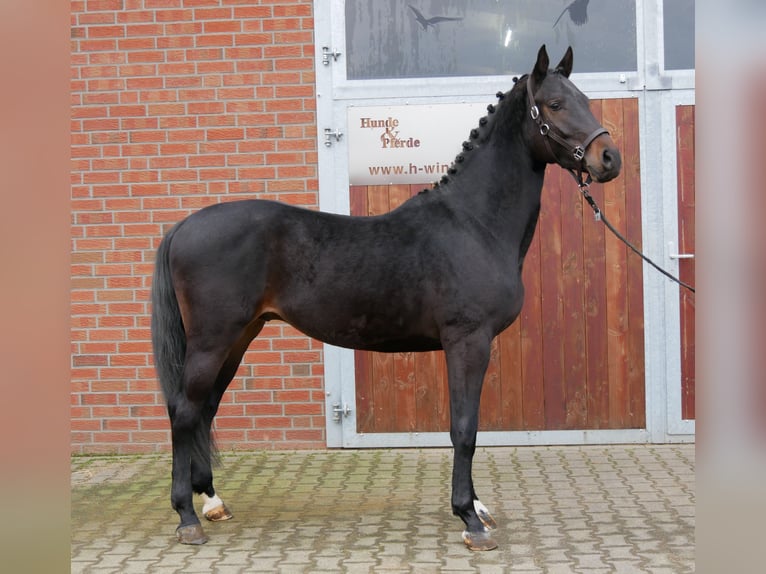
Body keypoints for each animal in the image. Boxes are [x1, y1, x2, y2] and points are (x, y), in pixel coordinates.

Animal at [152, 46, 624, 552]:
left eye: (586, 99)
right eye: (555, 104)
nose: (609, 158)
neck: (474, 223)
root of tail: (183, 226)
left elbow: (468, 424)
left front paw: (478, 507)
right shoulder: (468, 341)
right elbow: (465, 428)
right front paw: (469, 518)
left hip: (239, 337)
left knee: (205, 409)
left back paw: (212, 501)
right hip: (213, 340)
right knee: (184, 411)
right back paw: (186, 516)